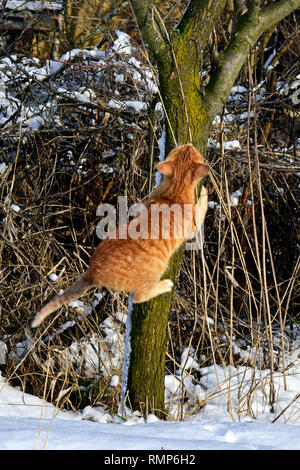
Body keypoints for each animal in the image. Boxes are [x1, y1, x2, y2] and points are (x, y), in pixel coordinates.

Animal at [30, 145, 209, 328]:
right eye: (190, 150)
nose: (189, 145)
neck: (174, 193)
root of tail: (92, 272)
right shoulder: (193, 226)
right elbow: (202, 208)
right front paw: (204, 193)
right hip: (156, 270)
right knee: (139, 296)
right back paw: (165, 285)